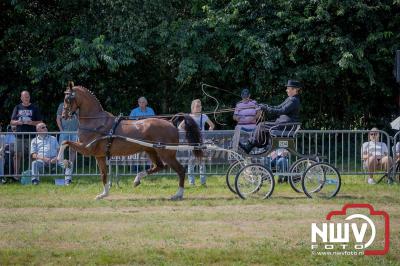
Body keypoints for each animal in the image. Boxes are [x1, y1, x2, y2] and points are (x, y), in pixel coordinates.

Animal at [57, 82, 203, 200]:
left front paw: (64, 162)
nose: (64, 115)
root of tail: (171, 122)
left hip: (166, 153)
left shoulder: (86, 148)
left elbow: (65, 143)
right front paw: (104, 194)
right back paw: (137, 180)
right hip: (151, 150)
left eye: (67, 99)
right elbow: (103, 174)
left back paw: (178, 194)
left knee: (180, 170)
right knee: (160, 166)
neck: (95, 121)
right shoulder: (99, 155)